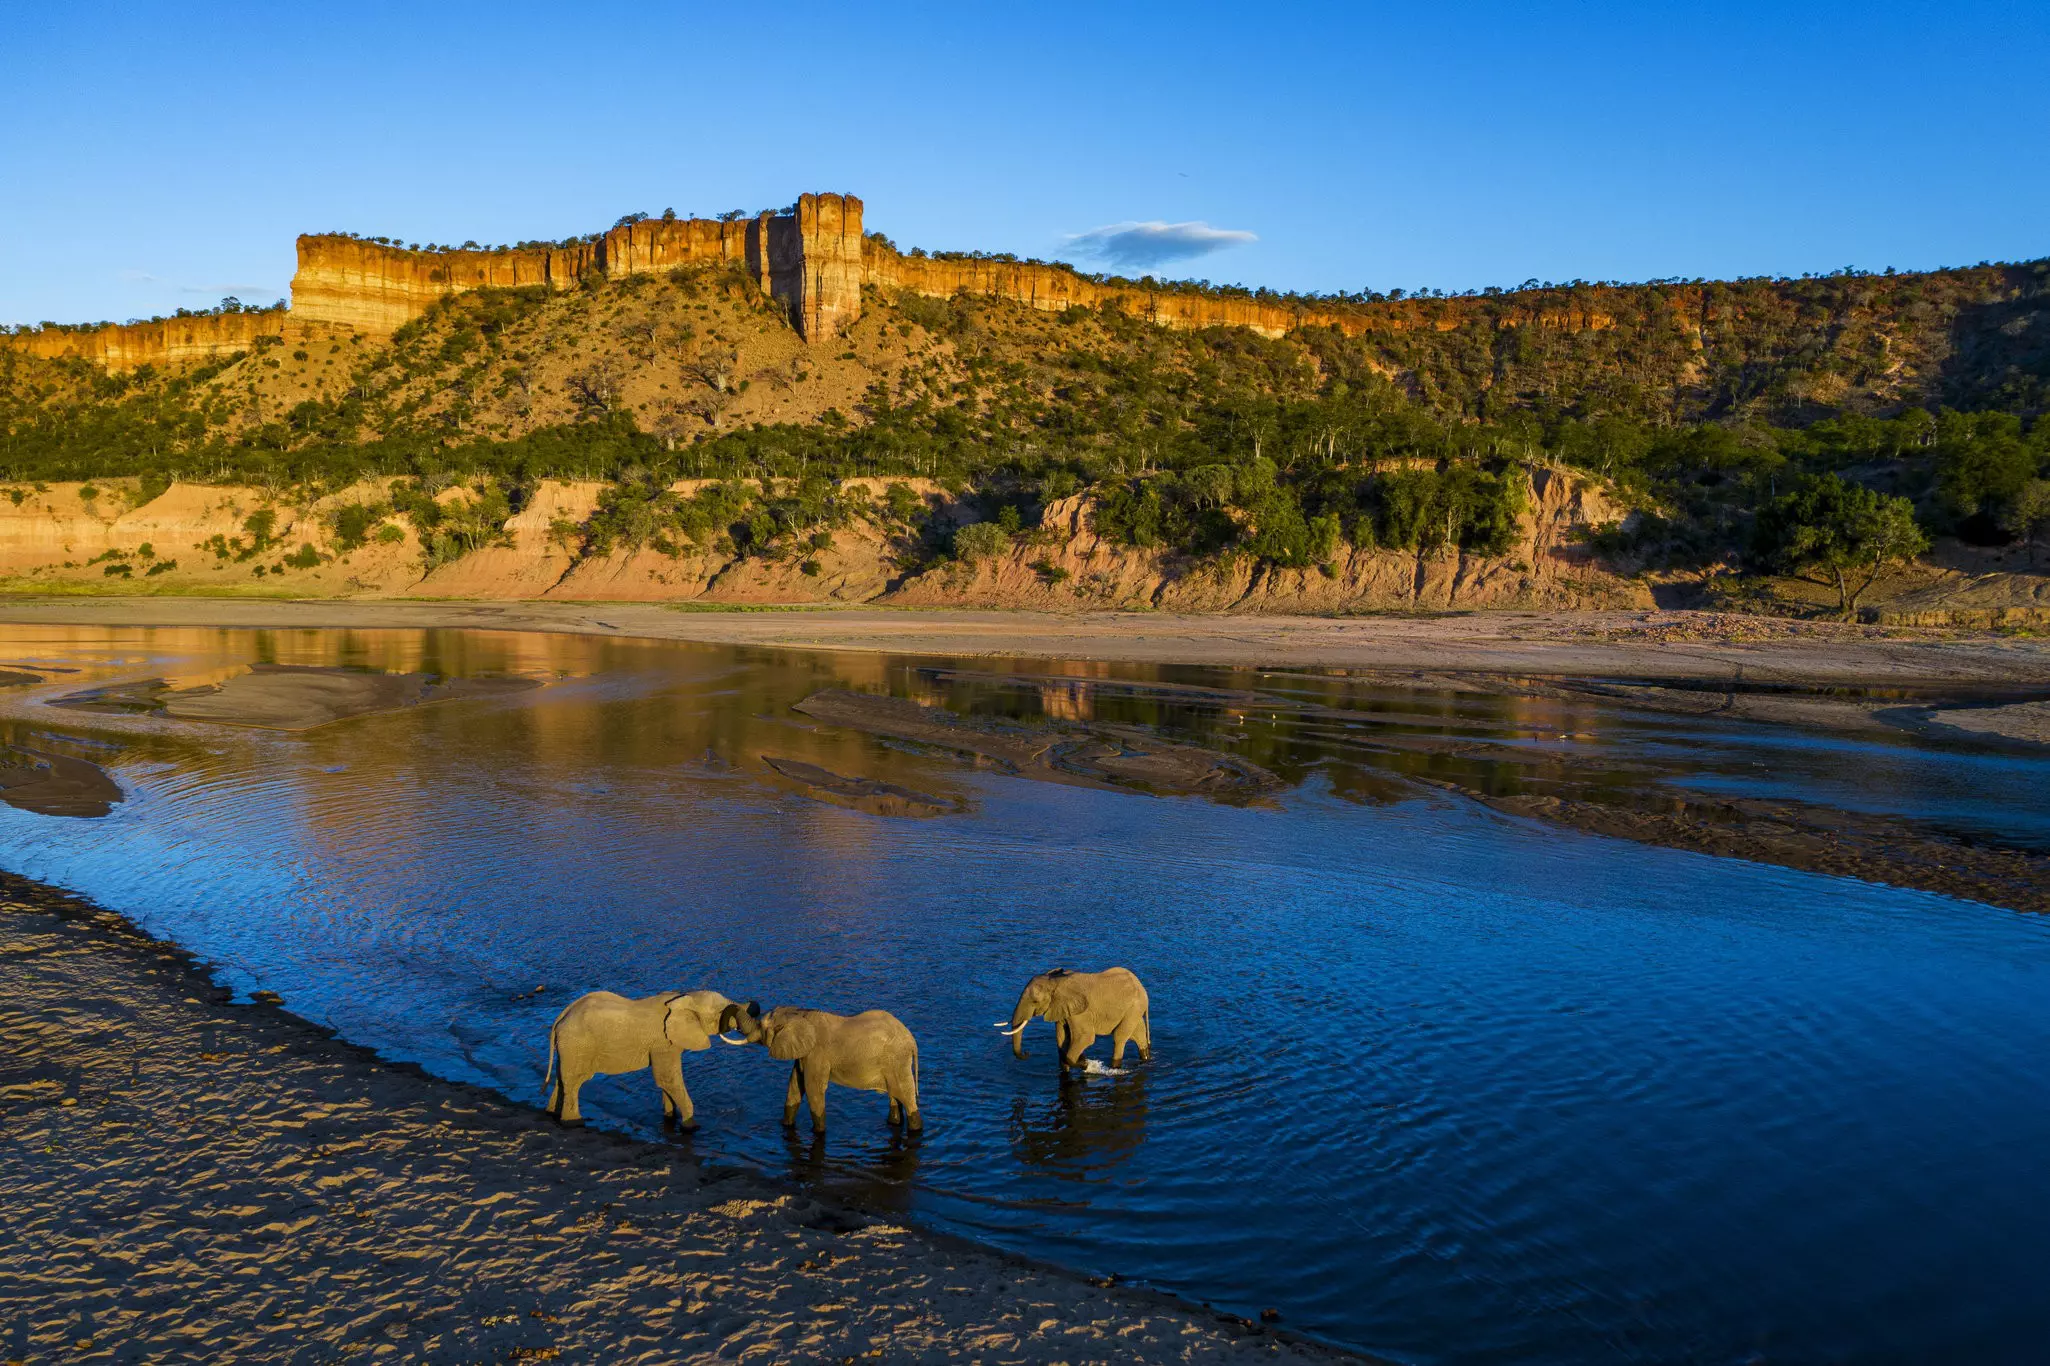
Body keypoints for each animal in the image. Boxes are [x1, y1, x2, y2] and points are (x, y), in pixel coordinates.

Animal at [542, 989, 755, 1128]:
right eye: (721, 1012)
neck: (685, 997)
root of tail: (561, 1017)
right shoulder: (663, 1042)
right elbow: (667, 1078)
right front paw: (691, 1126)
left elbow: (666, 1081)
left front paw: (670, 1118)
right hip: (578, 1046)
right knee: (574, 1082)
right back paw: (573, 1123)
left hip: (569, 1047)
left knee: (561, 1080)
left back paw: (551, 1114)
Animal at [724, 1004, 921, 1133]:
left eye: (762, 1026)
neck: (800, 1014)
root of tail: (912, 1040)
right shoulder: (803, 1055)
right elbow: (794, 1087)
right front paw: (784, 1126)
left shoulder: (816, 1054)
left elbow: (813, 1089)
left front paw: (818, 1132)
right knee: (895, 1097)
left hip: (897, 1061)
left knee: (907, 1097)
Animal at [996, 967, 1151, 1069]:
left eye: (1035, 1001)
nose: (1027, 1053)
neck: (1055, 981)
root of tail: (1141, 986)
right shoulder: (1060, 1008)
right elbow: (1061, 1038)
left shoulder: (1081, 1012)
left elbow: (1085, 1038)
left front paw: (1084, 1062)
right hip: (1133, 1010)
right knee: (1138, 1034)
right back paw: (1145, 1058)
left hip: (1134, 1008)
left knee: (1119, 1037)